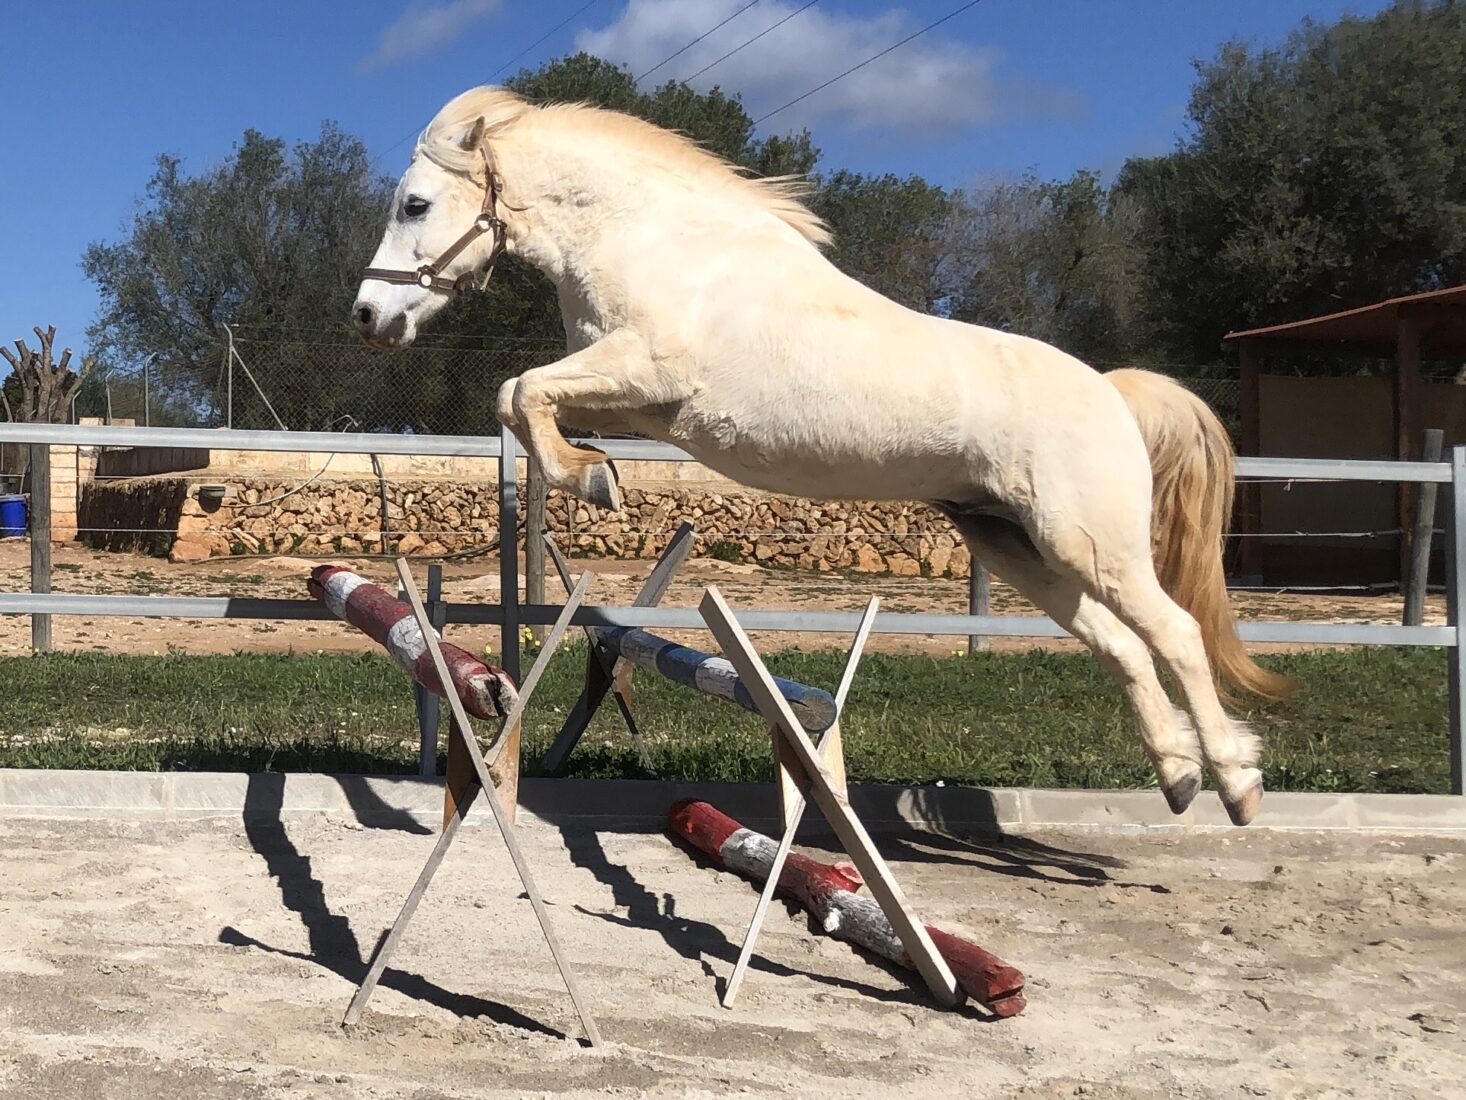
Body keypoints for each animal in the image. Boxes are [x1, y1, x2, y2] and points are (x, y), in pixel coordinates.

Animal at [357, 86, 1295, 827]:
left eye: (415, 205)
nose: (369, 316)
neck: (652, 240)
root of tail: (1113, 392)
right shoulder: (639, 400)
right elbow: (520, 397)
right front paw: (591, 469)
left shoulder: (649, 373)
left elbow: (518, 389)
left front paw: (592, 479)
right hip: (1017, 548)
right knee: (1122, 648)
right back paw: (1178, 779)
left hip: (1088, 544)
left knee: (1174, 635)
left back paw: (1236, 785)